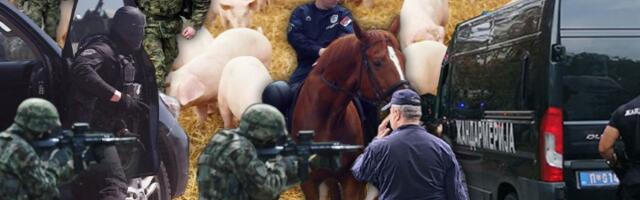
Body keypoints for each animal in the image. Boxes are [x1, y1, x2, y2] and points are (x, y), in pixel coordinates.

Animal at [292, 21, 408, 199]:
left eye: (403, 60)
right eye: (377, 62)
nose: (407, 97)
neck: (326, 119)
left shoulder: (351, 179)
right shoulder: (309, 182)